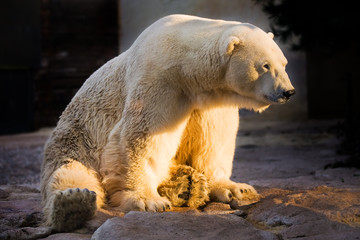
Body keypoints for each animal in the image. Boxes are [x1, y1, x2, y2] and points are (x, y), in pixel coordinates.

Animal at [40, 13, 296, 231]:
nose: (288, 92)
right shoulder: (160, 80)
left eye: (284, 63)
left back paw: (187, 185)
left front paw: (237, 188)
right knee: (70, 173)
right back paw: (74, 203)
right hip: (75, 141)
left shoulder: (211, 100)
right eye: (265, 65)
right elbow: (140, 138)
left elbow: (213, 141)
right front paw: (148, 200)